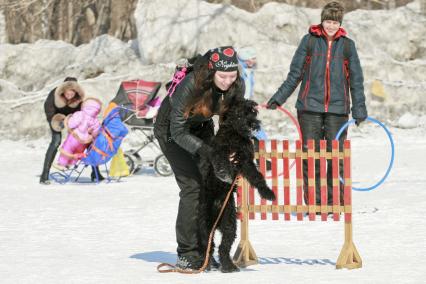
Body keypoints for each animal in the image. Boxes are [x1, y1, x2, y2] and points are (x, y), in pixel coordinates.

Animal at [197, 98, 274, 272]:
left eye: (253, 112)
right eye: (240, 113)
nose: (253, 124)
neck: (235, 134)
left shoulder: (246, 161)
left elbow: (257, 177)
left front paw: (267, 193)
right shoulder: (220, 151)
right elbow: (221, 162)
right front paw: (224, 174)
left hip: (229, 223)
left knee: (223, 247)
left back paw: (228, 266)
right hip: (205, 224)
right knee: (208, 246)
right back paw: (209, 265)